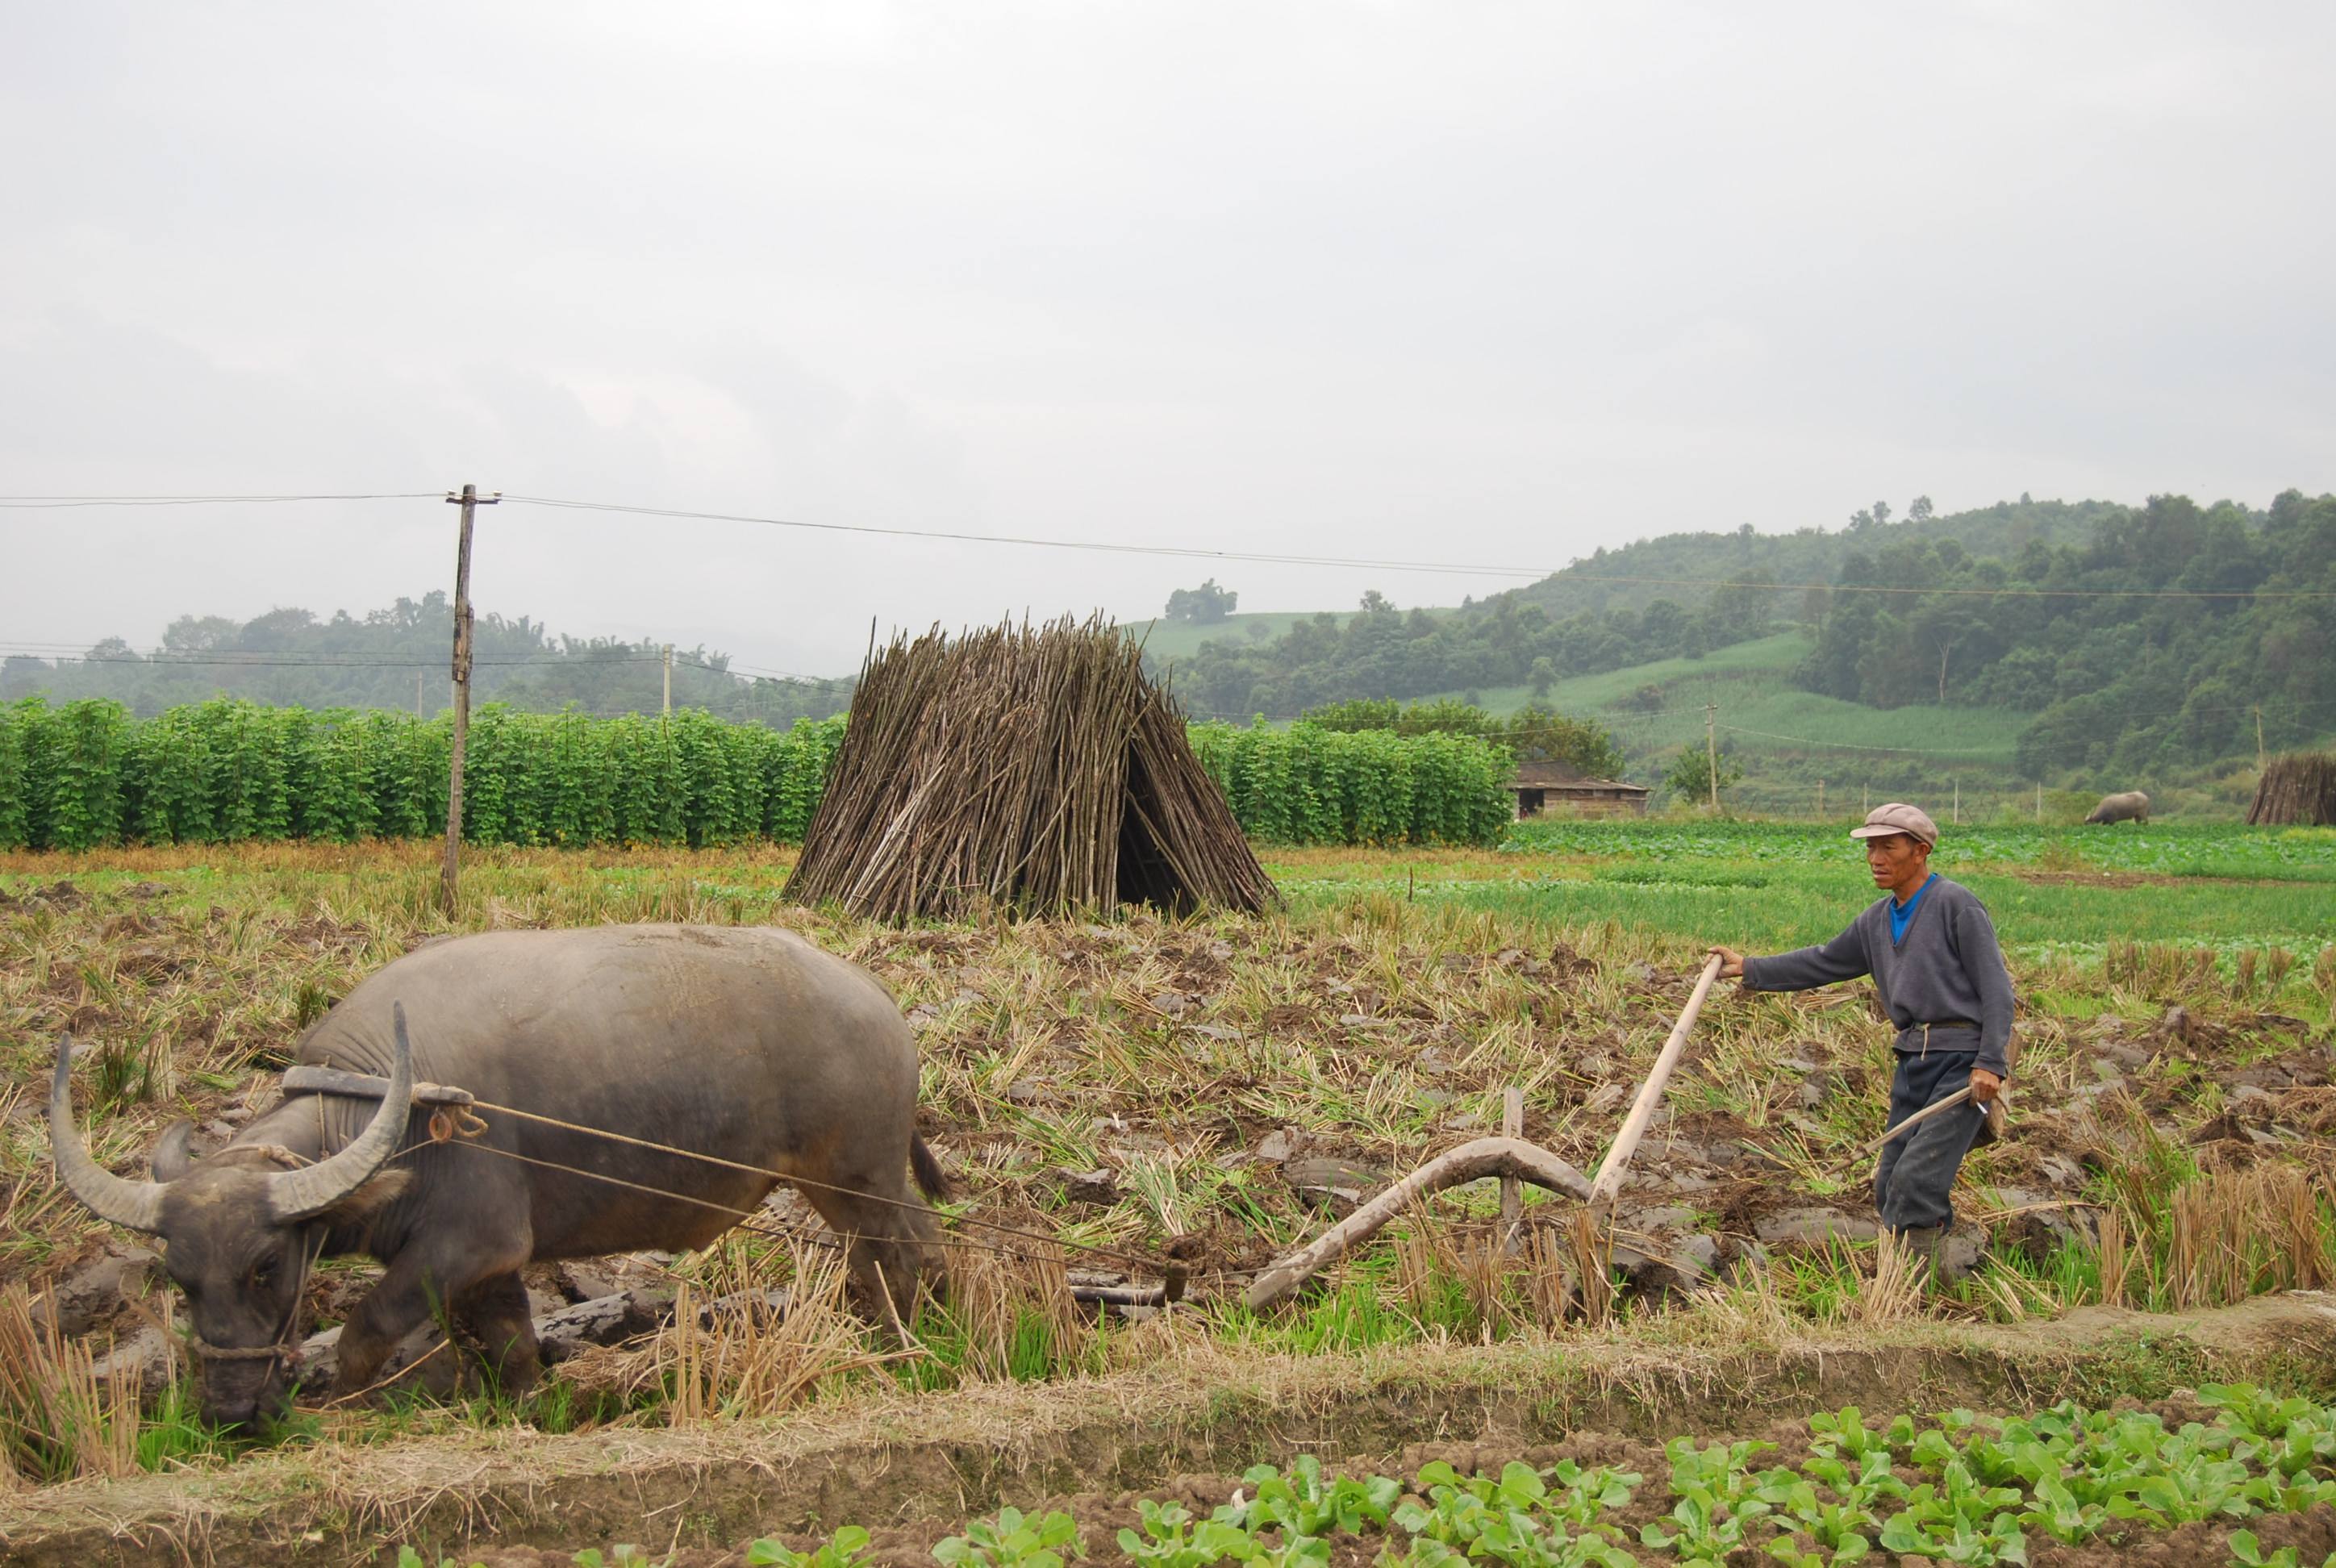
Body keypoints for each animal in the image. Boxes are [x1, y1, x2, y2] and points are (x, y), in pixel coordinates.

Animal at [48, 934, 939, 1439]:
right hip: (853, 1180)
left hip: (858, 1174)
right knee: (896, 1247)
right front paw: (533, 1408)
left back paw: (900, 1343)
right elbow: (508, 1340)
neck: (388, 1113)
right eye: (180, 1279)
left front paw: (344, 1409)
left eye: (268, 1267)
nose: (232, 1415)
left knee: (897, 1251)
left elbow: (368, 1327)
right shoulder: (493, 1266)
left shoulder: (465, 1244)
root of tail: (878, 1001)